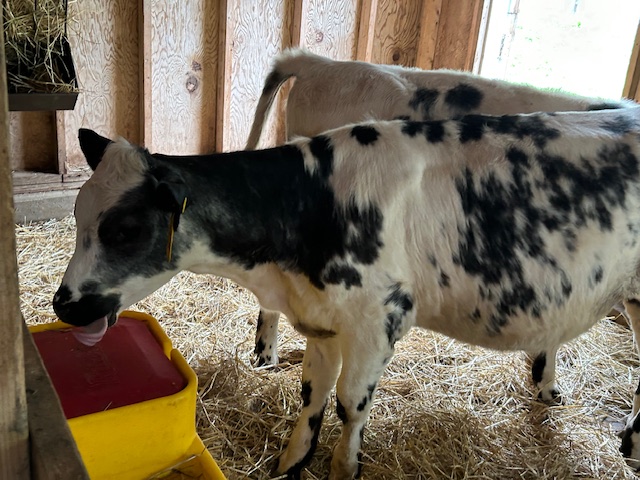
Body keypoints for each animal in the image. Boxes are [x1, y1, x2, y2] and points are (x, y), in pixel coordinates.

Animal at [54, 107, 640, 478]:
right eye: (78, 214)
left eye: (124, 229)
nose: (63, 303)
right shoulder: (322, 316)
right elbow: (312, 396)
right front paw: (291, 463)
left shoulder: (378, 317)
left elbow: (349, 404)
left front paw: (345, 466)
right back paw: (552, 392)